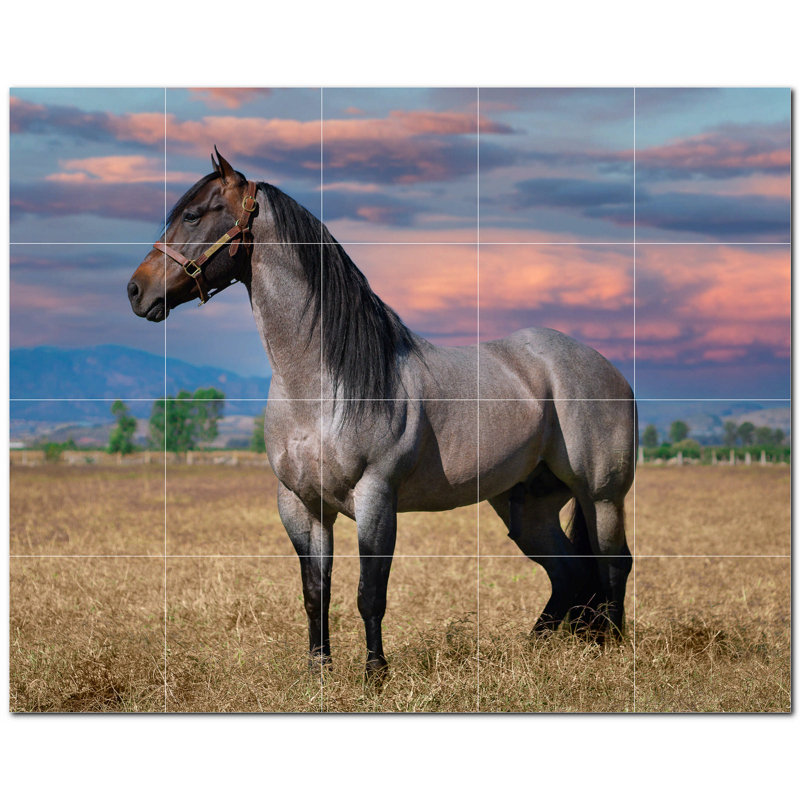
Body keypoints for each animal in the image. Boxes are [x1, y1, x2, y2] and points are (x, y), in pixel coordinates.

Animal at [128, 149, 636, 679]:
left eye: (192, 215)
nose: (136, 291)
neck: (321, 388)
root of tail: (605, 367)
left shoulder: (376, 497)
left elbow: (370, 593)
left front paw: (375, 673)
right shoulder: (301, 505)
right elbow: (316, 593)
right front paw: (319, 670)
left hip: (602, 495)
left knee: (613, 563)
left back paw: (612, 649)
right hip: (527, 506)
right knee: (568, 572)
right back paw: (535, 649)